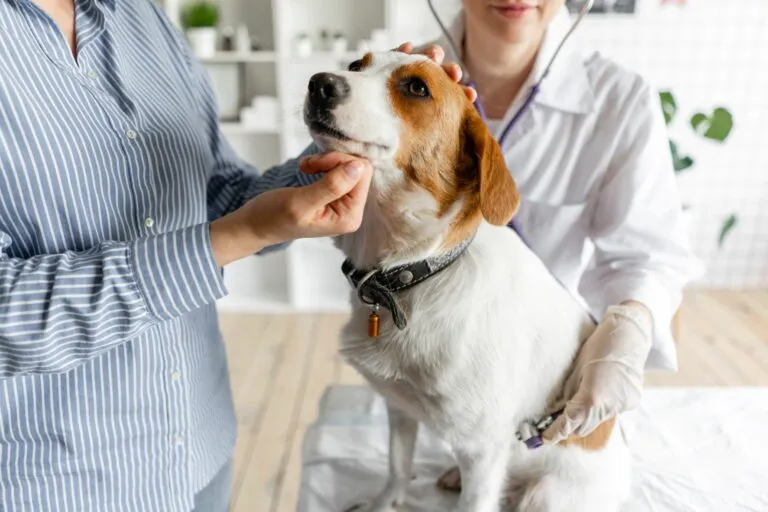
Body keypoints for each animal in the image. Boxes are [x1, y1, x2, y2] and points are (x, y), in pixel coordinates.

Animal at [300, 51, 632, 512]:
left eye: (417, 88)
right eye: (355, 65)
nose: (319, 83)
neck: (414, 271)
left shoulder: (483, 450)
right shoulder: (399, 408)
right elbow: (397, 468)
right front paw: (385, 502)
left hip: (545, 495)